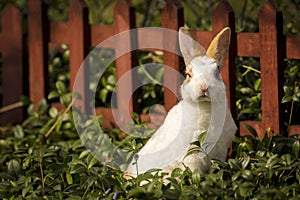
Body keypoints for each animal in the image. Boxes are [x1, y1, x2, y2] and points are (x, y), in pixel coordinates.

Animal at [124, 26, 237, 177]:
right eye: (188, 75)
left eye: (217, 71)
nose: (204, 87)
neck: (206, 106)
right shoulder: (192, 156)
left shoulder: (220, 153)